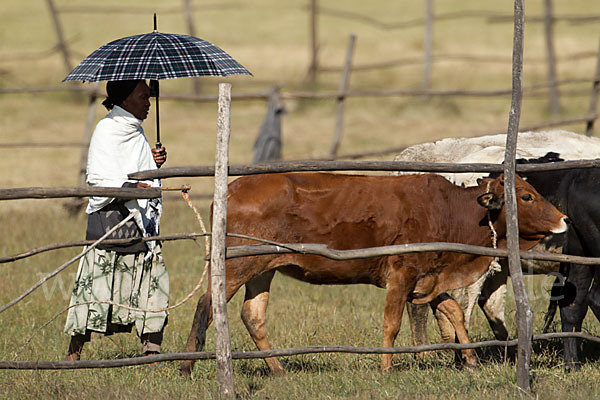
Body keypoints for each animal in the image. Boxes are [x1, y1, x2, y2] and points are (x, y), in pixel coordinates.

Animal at [179, 172, 568, 376]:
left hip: (262, 270)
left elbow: (454, 311)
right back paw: (187, 366)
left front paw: (470, 360)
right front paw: (385, 367)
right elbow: (392, 324)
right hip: (235, 267)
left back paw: (277, 370)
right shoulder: (402, 274)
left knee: (252, 315)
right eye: (527, 197)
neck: (450, 211)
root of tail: (230, 188)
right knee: (206, 307)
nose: (565, 219)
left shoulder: (429, 278)